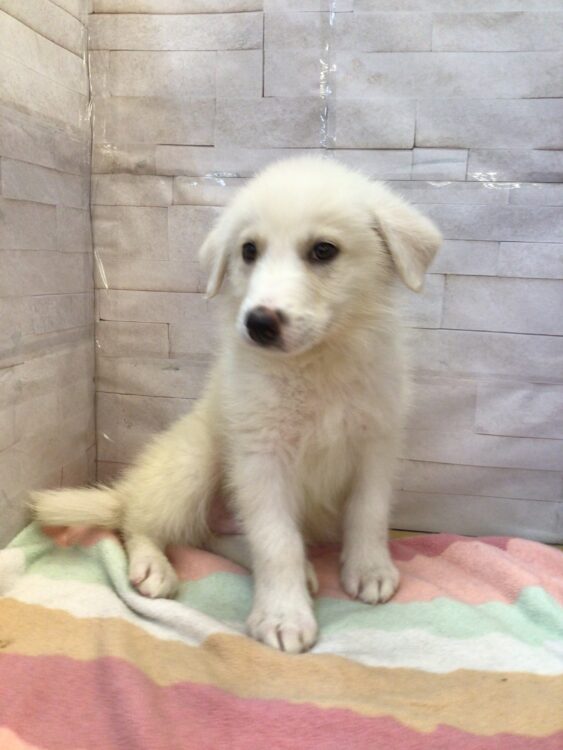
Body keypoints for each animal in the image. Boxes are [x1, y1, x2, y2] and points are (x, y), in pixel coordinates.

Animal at [32, 157, 441, 653]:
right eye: (249, 251)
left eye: (324, 251)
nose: (259, 322)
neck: (316, 365)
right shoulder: (260, 458)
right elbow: (277, 542)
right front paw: (283, 616)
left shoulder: (376, 446)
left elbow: (368, 514)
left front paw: (369, 570)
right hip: (193, 463)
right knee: (138, 521)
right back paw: (152, 566)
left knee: (215, 535)